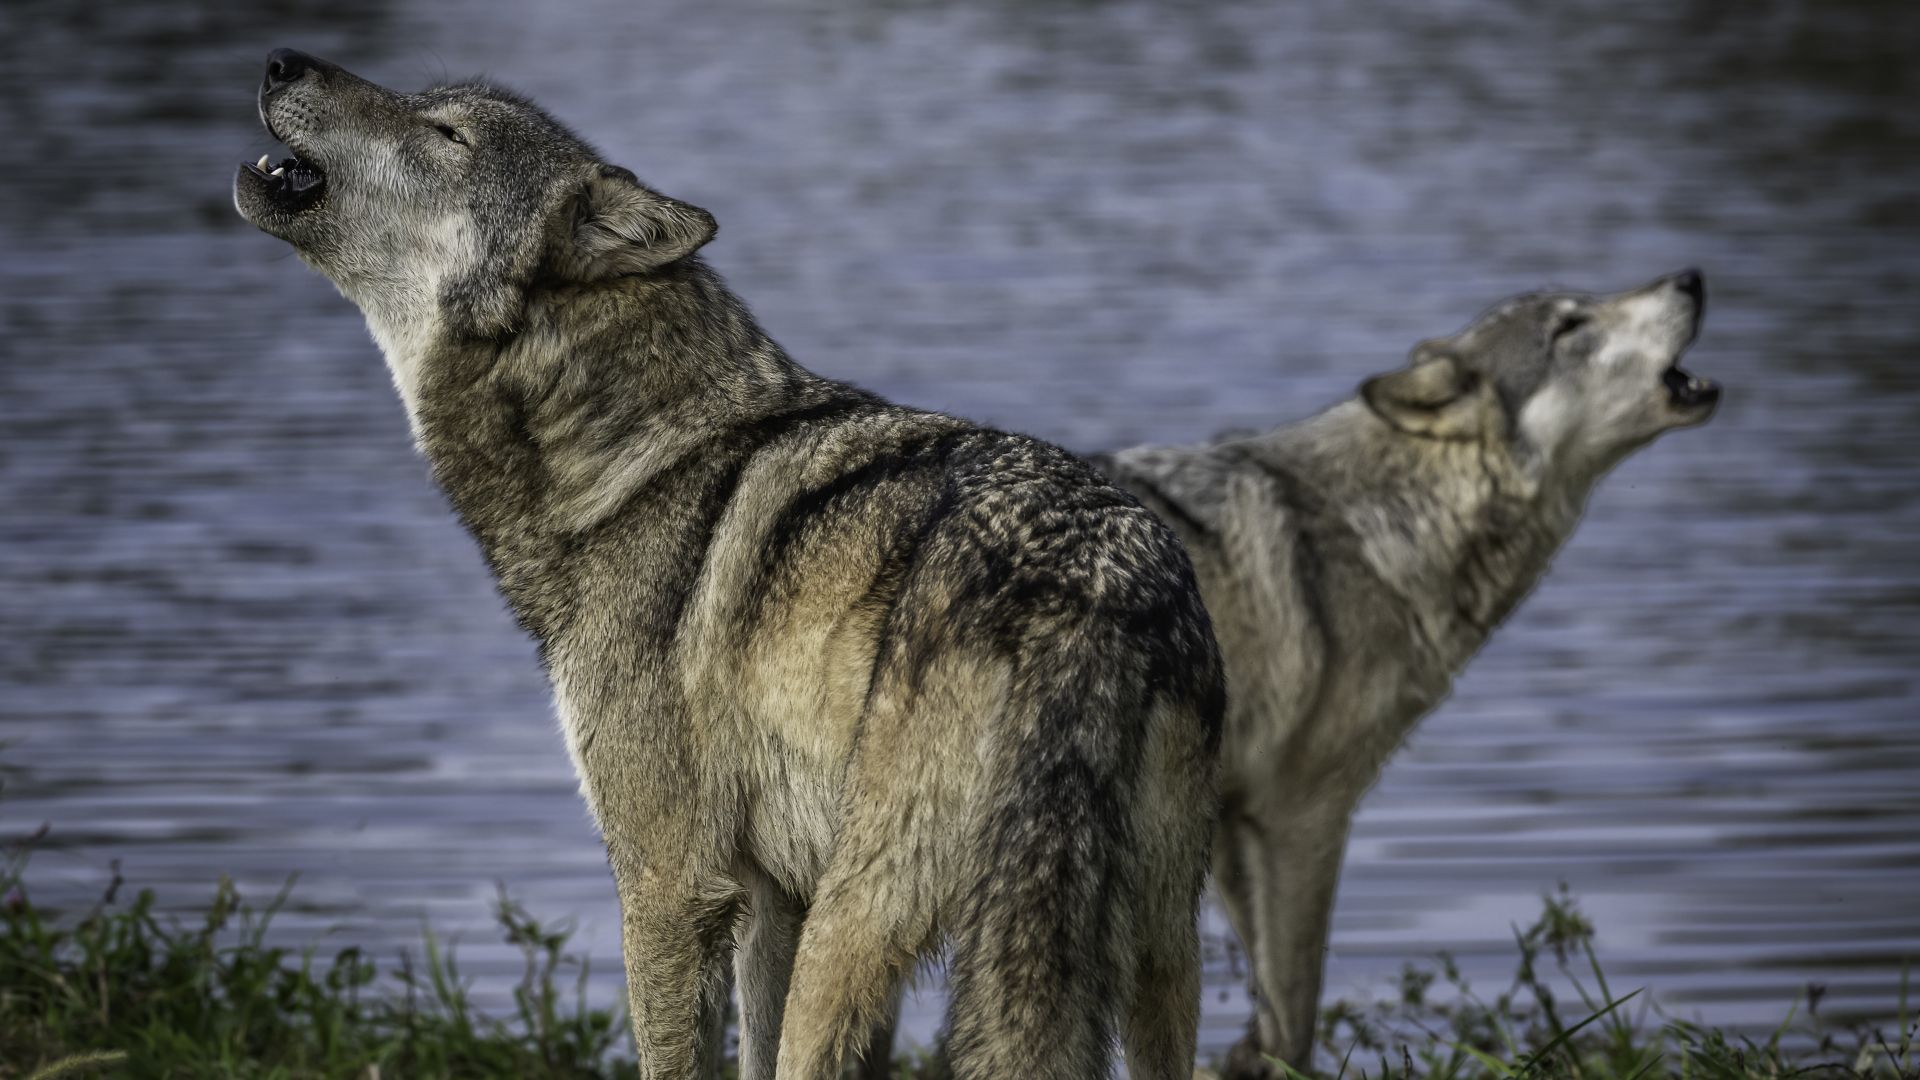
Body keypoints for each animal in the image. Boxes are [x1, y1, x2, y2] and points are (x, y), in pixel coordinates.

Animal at [233, 49, 1225, 1080]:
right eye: (424, 105)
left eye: (445, 134)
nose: (281, 59)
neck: (633, 463)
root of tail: (1095, 594)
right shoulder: (770, 896)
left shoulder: (670, 884)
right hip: (1156, 964)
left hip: (855, 934)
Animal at [854, 272, 1721, 1078]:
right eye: (1570, 327)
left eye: (1586, 305)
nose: (1691, 278)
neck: (1378, 529)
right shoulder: (1306, 815)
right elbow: (1298, 1006)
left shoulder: (1235, 823)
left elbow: (1268, 1008)